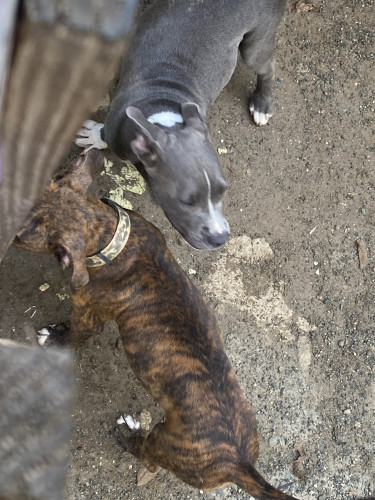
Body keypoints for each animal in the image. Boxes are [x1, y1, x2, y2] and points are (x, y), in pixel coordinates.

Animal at [13, 149, 300, 500]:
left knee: (147, 457)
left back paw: (128, 434)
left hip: (164, 443)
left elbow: (74, 335)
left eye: (20, 233)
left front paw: (53, 336)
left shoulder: (87, 314)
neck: (109, 236)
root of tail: (240, 463)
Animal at [77, 0, 288, 250]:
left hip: (256, 43)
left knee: (268, 67)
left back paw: (262, 105)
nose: (220, 239)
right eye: (186, 201)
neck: (164, 113)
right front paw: (93, 135)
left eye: (223, 190)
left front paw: (92, 135)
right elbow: (105, 135)